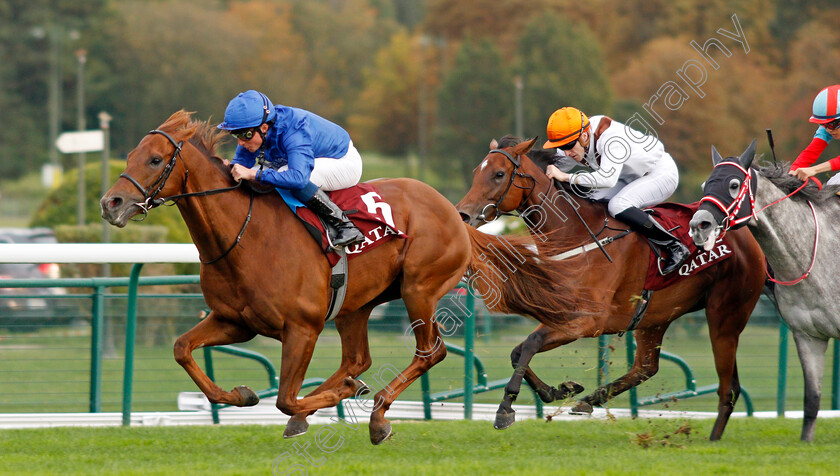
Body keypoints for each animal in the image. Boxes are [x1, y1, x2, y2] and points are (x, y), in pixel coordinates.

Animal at [101, 112, 592, 446]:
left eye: (156, 159)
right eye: (129, 156)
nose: (111, 203)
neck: (244, 234)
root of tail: (453, 211)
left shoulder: (301, 328)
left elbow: (286, 396)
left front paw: (316, 405)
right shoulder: (233, 321)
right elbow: (182, 349)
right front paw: (241, 395)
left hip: (418, 288)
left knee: (428, 352)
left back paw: (376, 416)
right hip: (356, 305)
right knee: (358, 360)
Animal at [456, 137, 764, 438]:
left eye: (499, 174)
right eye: (476, 172)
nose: (463, 215)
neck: (576, 236)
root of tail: (748, 238)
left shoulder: (586, 321)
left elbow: (529, 344)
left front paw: (505, 408)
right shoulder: (564, 316)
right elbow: (517, 352)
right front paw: (559, 390)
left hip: (725, 316)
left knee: (728, 385)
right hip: (656, 315)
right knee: (645, 368)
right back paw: (589, 400)